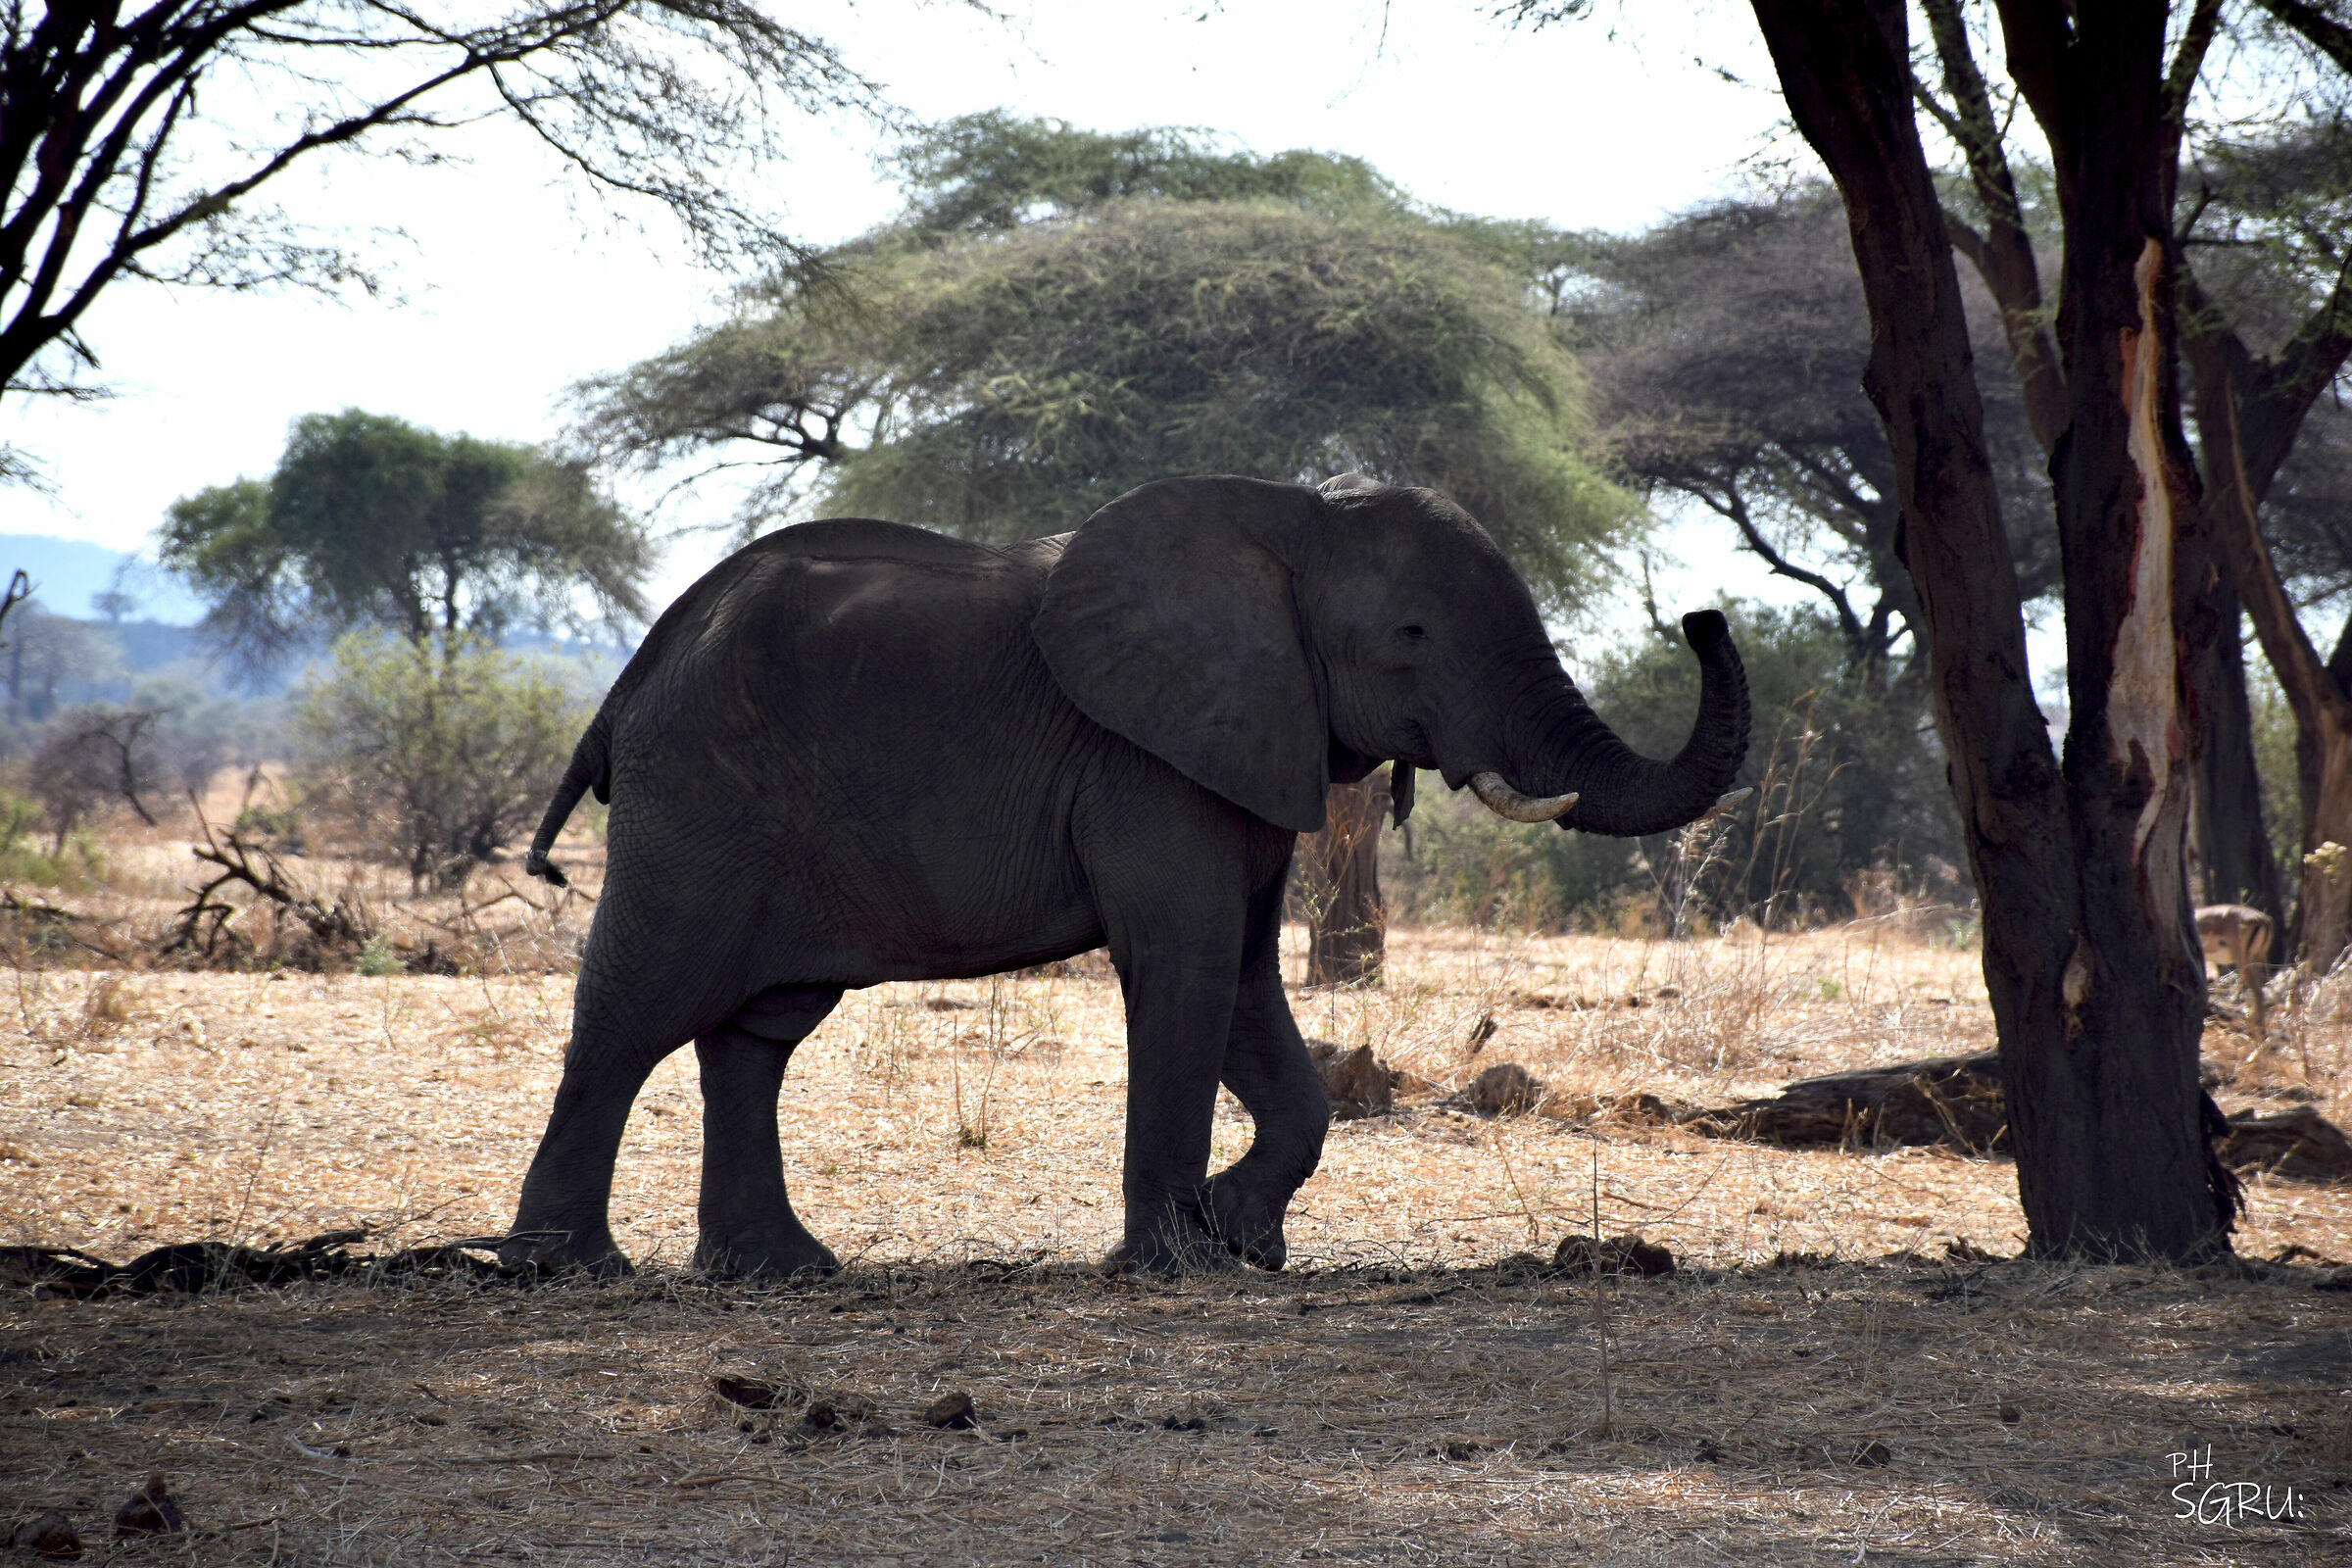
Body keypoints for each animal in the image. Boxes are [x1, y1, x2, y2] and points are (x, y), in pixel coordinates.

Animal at [506, 473, 1750, 1277]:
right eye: (1411, 634)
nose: (1701, 612)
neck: (1293, 522)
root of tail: (627, 683)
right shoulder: (1148, 760)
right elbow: (1186, 964)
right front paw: (1173, 1261)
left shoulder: (1247, 741)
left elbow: (1241, 979)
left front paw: (1244, 1239)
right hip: (701, 802)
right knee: (636, 1011)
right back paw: (569, 1270)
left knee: (754, 1034)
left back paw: (780, 1270)